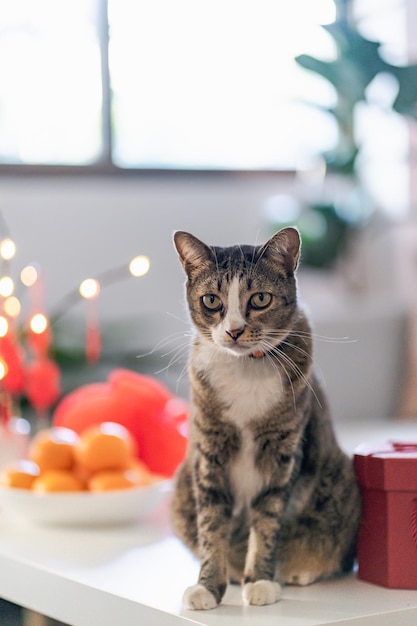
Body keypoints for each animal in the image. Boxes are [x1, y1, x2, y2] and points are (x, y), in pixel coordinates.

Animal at [169, 227, 360, 608]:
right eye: (211, 300)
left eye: (259, 299)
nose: (233, 330)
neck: (246, 368)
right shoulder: (209, 451)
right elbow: (211, 524)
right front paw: (208, 586)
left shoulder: (282, 450)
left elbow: (268, 519)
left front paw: (260, 580)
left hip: (340, 485)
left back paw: (297, 571)